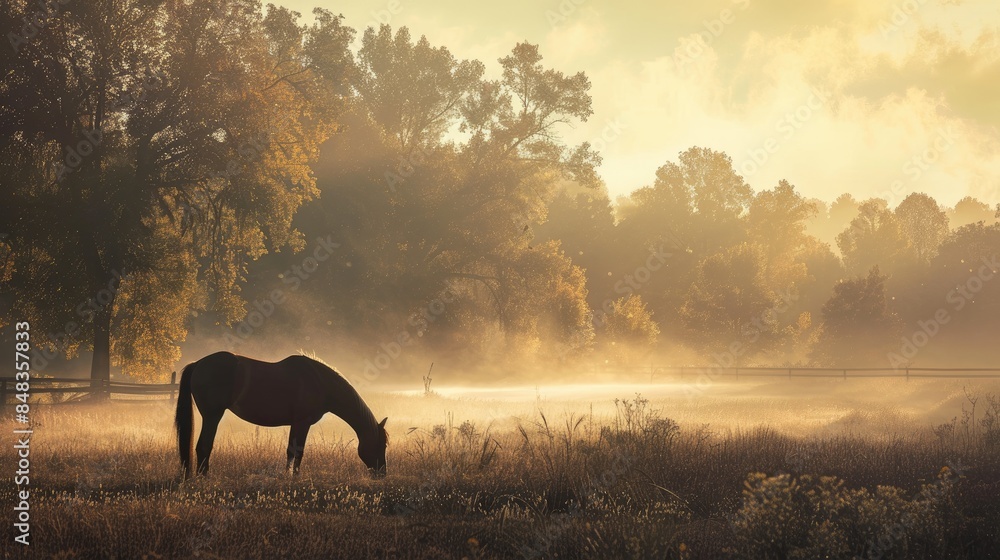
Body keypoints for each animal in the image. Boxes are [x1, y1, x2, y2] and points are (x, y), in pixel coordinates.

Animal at [176, 352, 386, 480]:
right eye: (381, 445)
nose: (382, 473)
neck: (321, 382)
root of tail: (198, 364)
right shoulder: (302, 422)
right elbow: (298, 452)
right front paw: (296, 478)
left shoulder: (296, 424)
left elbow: (290, 451)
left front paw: (288, 476)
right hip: (212, 415)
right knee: (204, 446)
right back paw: (204, 478)